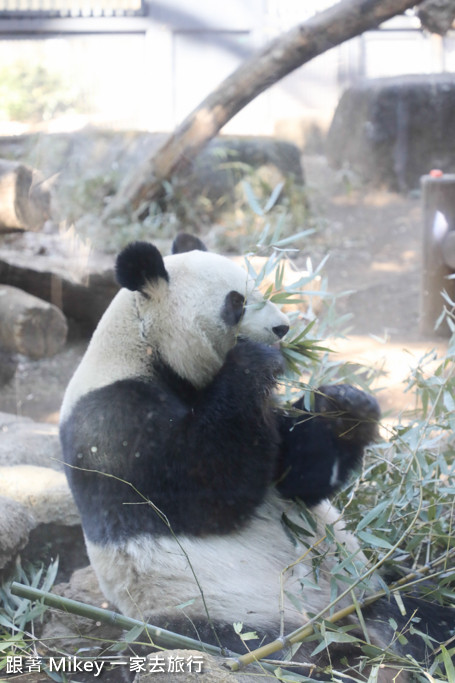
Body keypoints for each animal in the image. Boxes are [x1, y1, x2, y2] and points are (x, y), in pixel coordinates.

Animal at [59, 238, 452, 680]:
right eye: (237, 301)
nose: (283, 329)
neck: (145, 349)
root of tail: (340, 619)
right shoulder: (114, 418)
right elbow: (206, 490)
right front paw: (255, 360)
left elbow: (297, 478)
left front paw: (345, 406)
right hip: (216, 615)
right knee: (252, 650)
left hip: (370, 586)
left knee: (419, 617)